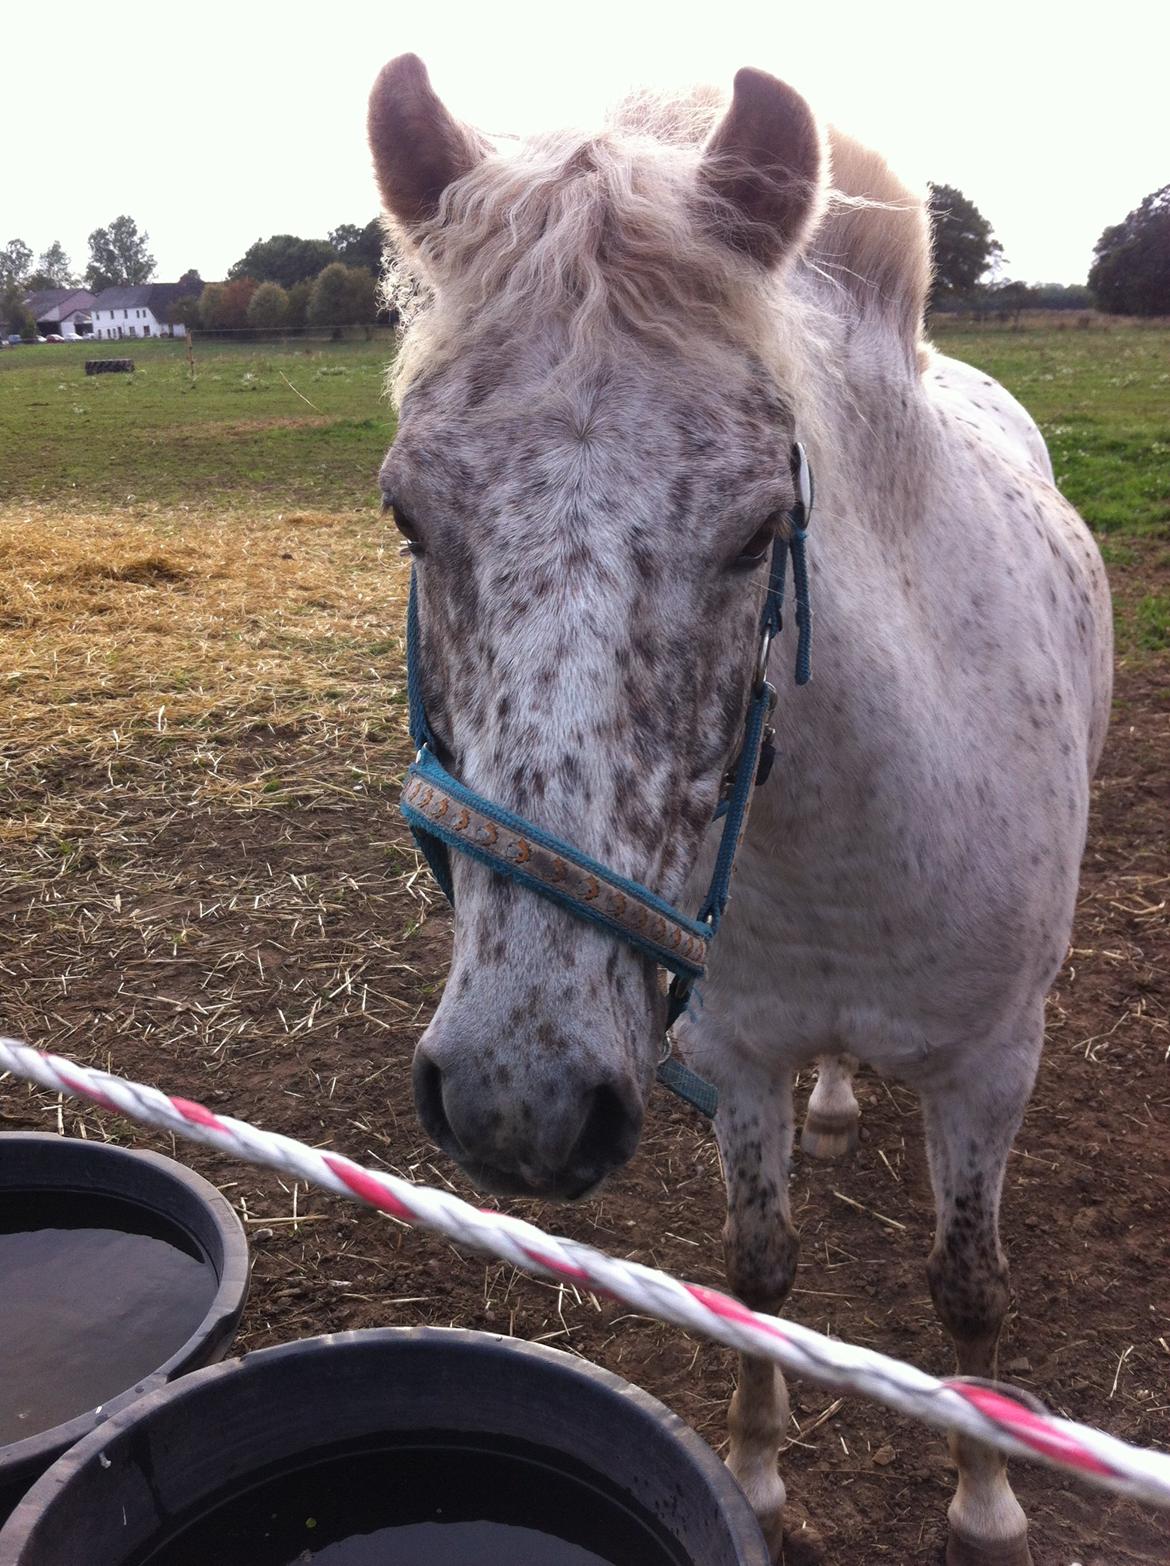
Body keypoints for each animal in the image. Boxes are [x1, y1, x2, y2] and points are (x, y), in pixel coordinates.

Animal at [367, 54, 1113, 1566]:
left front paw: (988, 1504)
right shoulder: (738, 1052)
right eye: (409, 516)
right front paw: (761, 1482)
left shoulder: (990, 1067)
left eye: (764, 527)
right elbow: (757, 1273)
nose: (518, 1102)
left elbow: (968, 1286)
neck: (844, 841)